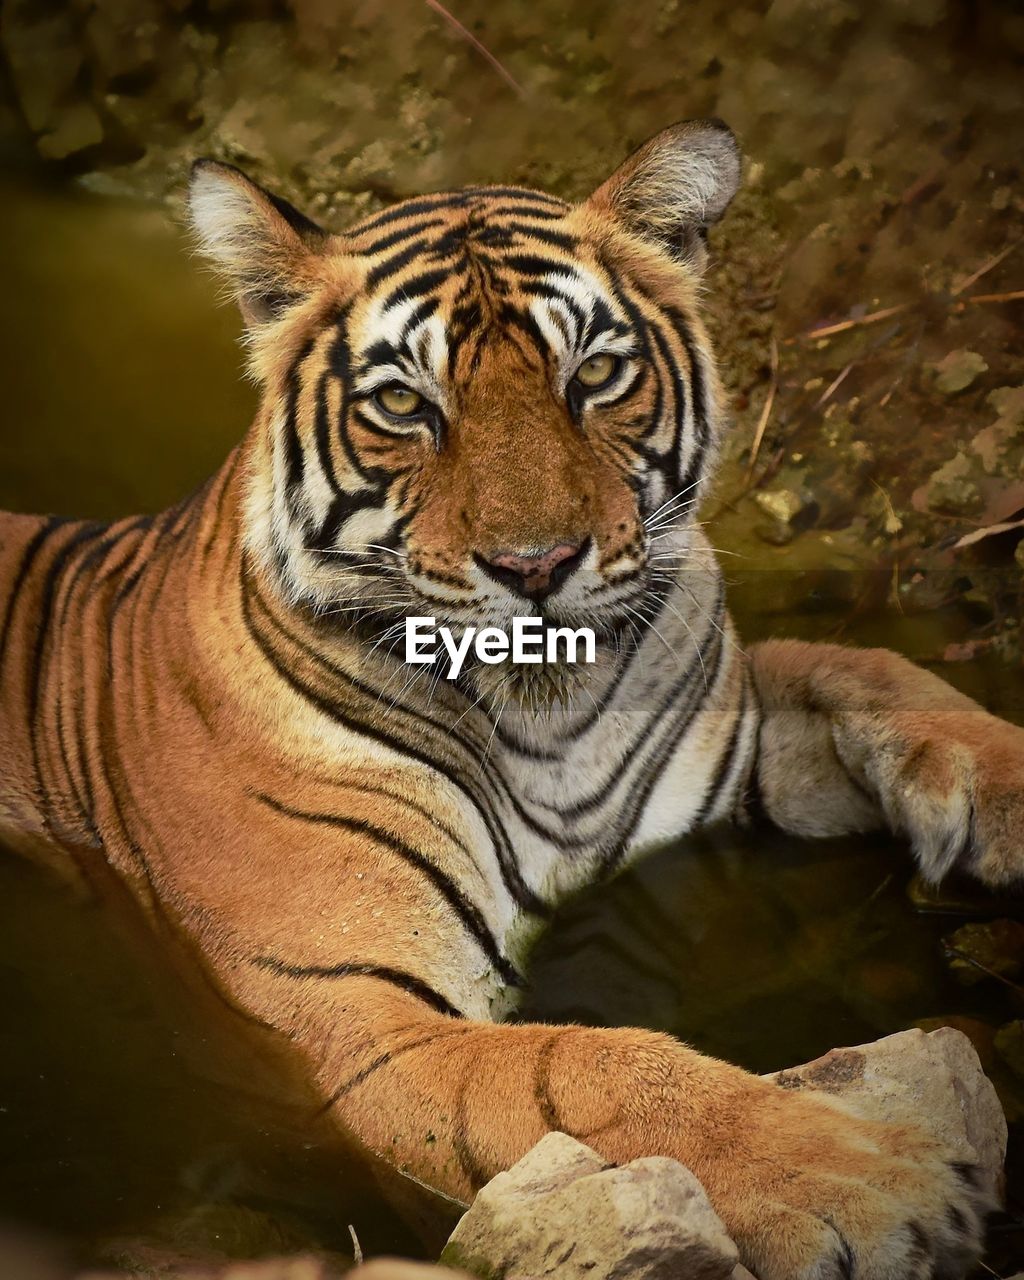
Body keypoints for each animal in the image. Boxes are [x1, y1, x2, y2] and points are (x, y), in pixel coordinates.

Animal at [2, 115, 1024, 1274]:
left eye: (597, 373)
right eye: (405, 402)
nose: (534, 565)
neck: (547, 707)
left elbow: (856, 664)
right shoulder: (362, 1019)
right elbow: (588, 1066)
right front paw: (868, 1183)